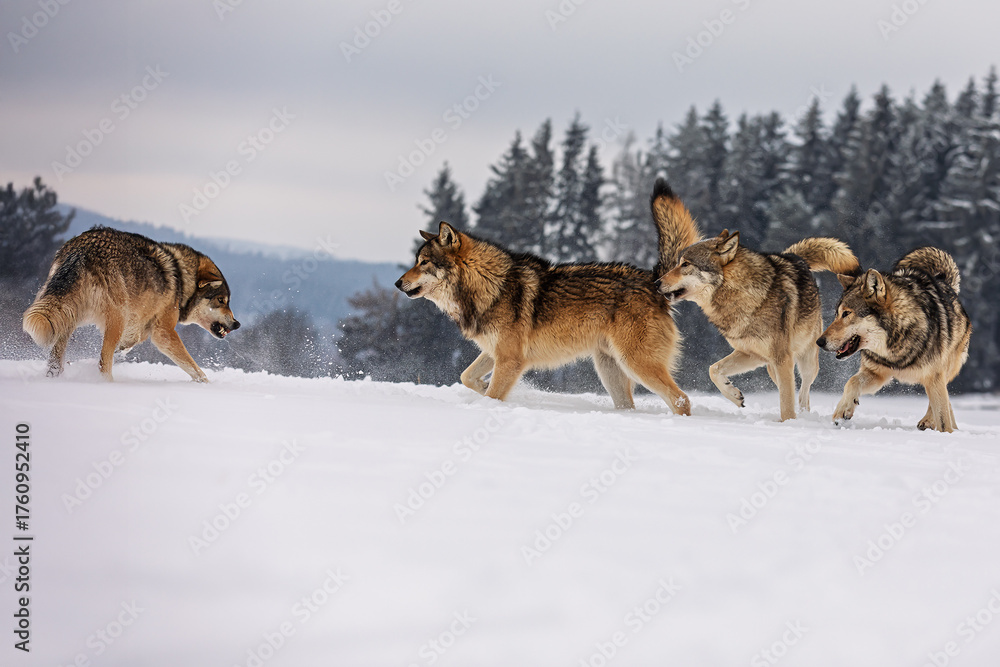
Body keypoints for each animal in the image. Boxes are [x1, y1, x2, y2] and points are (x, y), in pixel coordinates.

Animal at [22, 226, 240, 382]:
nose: (237, 324)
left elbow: (127, 346)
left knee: (56, 361)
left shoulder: (138, 328)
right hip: (117, 318)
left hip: (67, 317)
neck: (182, 279)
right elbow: (195, 368)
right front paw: (208, 386)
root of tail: (82, 250)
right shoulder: (164, 333)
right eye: (221, 300)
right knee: (103, 364)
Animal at [393, 178, 701, 414]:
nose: (397, 283)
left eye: (423, 262)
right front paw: (482, 387)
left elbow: (492, 394)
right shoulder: (496, 353)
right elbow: (466, 376)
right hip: (611, 369)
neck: (491, 285)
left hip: (636, 363)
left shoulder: (510, 359)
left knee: (681, 399)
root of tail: (654, 280)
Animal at [657, 217, 860, 421]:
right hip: (772, 367)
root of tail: (794, 256)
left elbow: (787, 403)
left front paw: (789, 422)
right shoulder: (751, 354)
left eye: (685, 264)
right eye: (679, 263)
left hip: (806, 360)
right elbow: (713, 369)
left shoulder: (782, 358)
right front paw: (734, 395)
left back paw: (804, 414)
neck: (740, 295)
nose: (656, 282)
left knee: (803, 391)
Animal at [817, 247, 971, 432]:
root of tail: (943, 281)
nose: (819, 342)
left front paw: (945, 433)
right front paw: (842, 411)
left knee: (942, 401)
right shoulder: (876, 374)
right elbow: (851, 382)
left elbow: (942, 416)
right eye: (836, 314)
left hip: (946, 368)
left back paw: (930, 421)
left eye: (846, 313)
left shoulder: (934, 376)